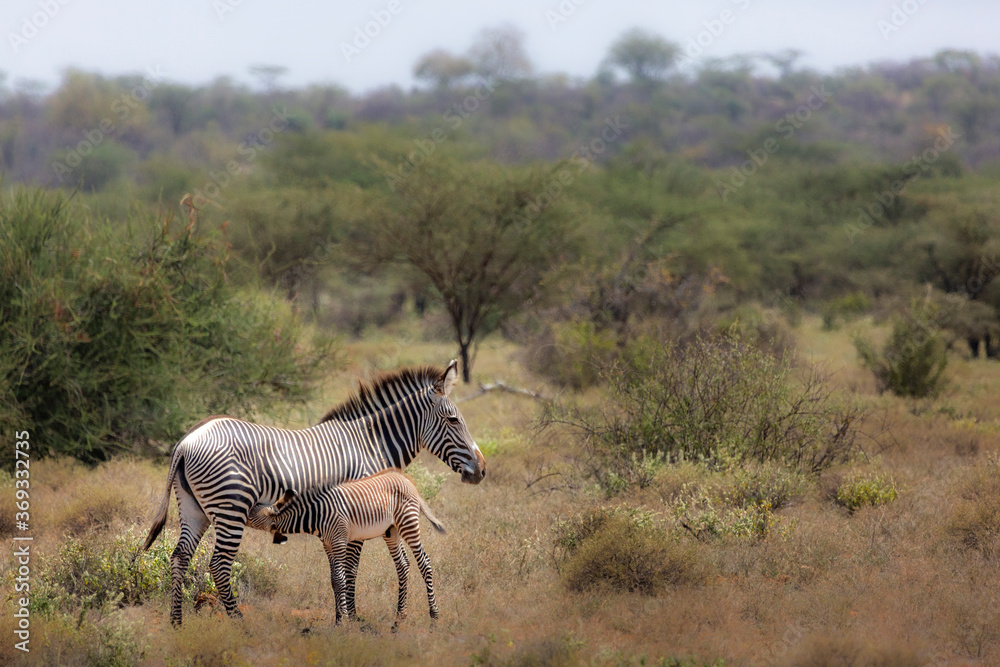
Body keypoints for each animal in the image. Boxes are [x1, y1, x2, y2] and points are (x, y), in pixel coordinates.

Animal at [248, 469, 445, 628]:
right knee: (403, 565)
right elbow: (334, 580)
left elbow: (341, 579)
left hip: (408, 523)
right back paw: (399, 619)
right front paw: (337, 619)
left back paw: (434, 616)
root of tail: (405, 479)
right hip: (391, 530)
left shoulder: (339, 541)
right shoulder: (328, 544)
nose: (242, 509)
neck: (317, 515)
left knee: (424, 563)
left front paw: (342, 621)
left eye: (251, 511)